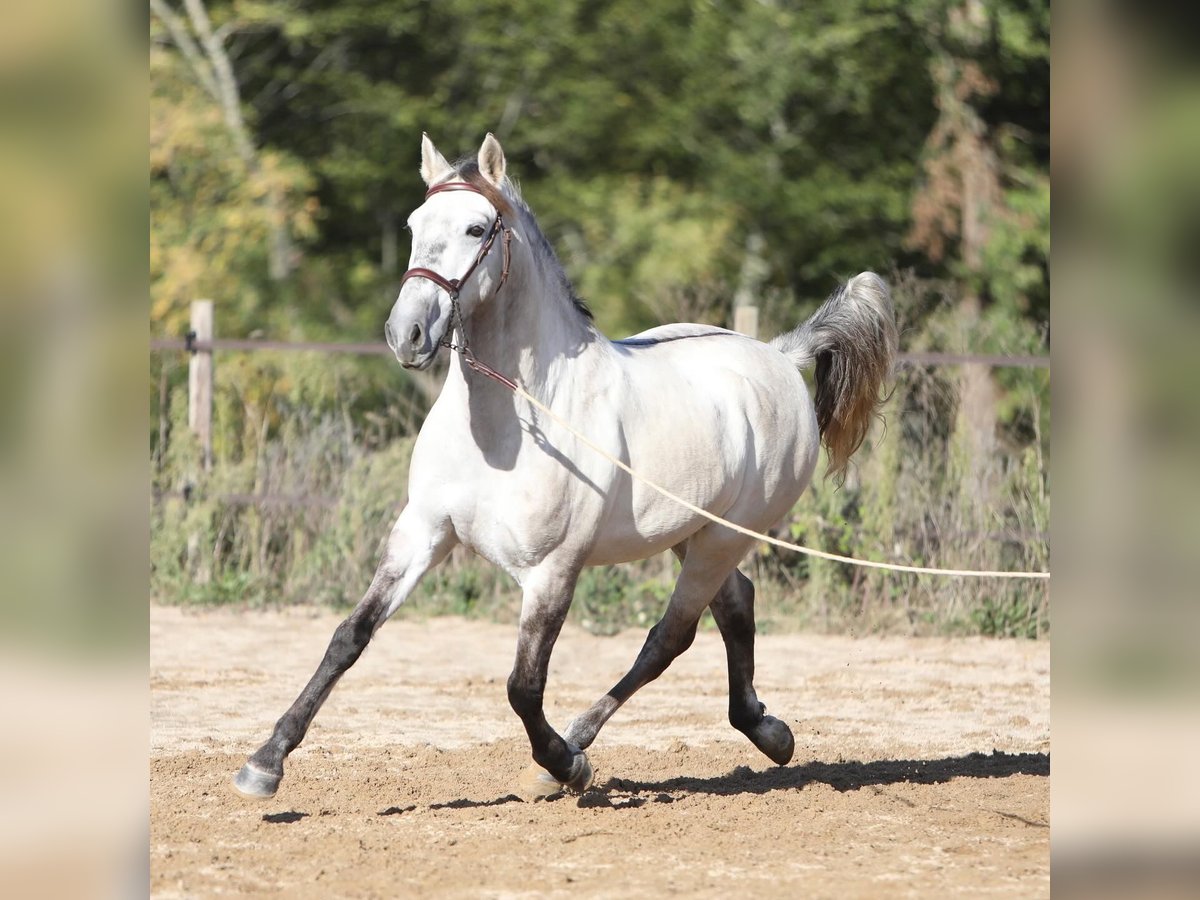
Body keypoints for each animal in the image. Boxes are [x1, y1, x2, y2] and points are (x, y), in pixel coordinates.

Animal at [234, 135, 897, 801]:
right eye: (414, 226)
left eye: (477, 228)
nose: (407, 334)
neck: (509, 422)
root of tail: (779, 356)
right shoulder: (423, 532)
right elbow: (350, 636)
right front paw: (265, 763)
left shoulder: (552, 572)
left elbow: (522, 687)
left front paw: (564, 765)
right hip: (692, 533)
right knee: (735, 604)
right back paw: (766, 730)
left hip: (725, 537)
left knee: (670, 636)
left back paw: (581, 742)